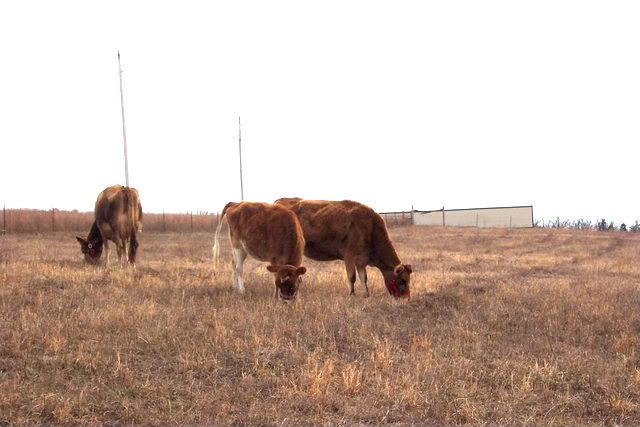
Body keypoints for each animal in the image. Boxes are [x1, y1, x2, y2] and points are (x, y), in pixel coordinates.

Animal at [274, 198, 412, 298]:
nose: (406, 297)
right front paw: (351, 295)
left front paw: (367, 295)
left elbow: (364, 278)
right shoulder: (349, 256)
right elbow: (352, 277)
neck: (370, 228)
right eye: (403, 280)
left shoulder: (361, 261)